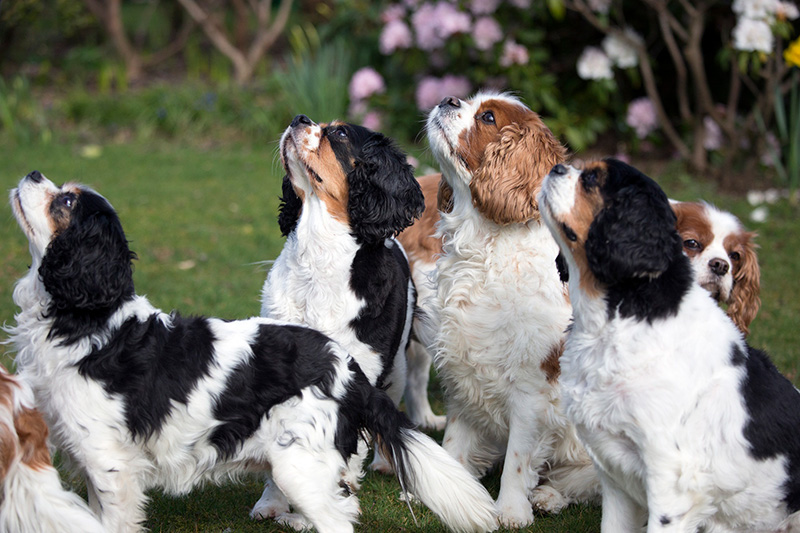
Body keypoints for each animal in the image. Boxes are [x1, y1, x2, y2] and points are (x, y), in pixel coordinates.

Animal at [252, 116, 444, 520]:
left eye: (339, 133)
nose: (298, 119)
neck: (318, 254)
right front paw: (271, 502)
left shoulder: (362, 369)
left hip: (396, 365)